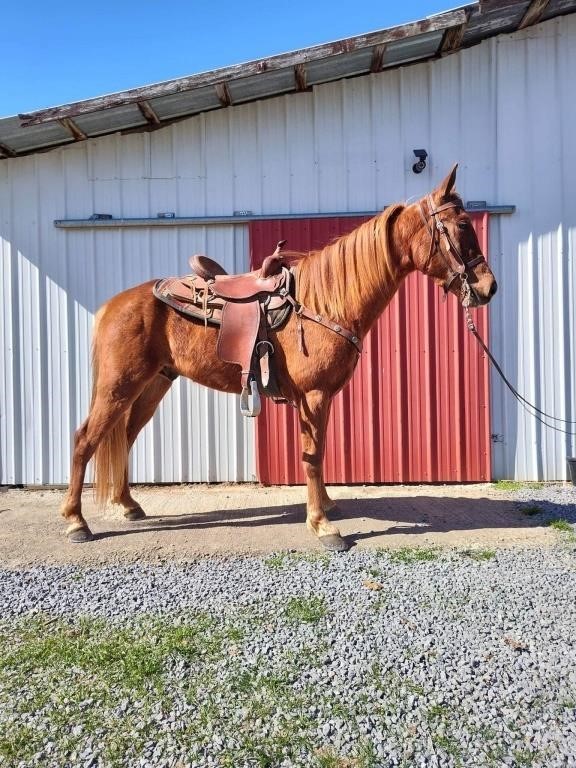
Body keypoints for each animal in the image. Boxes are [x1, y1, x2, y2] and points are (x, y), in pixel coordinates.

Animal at [62, 165, 496, 552]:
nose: (488, 287)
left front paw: (325, 508)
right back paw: (75, 521)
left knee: (125, 436)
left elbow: (317, 453)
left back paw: (128, 505)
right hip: (119, 386)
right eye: (461, 226)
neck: (327, 301)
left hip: (153, 384)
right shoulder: (315, 395)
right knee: (85, 439)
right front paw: (322, 526)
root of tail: (113, 305)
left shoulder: (320, 398)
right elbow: (312, 455)